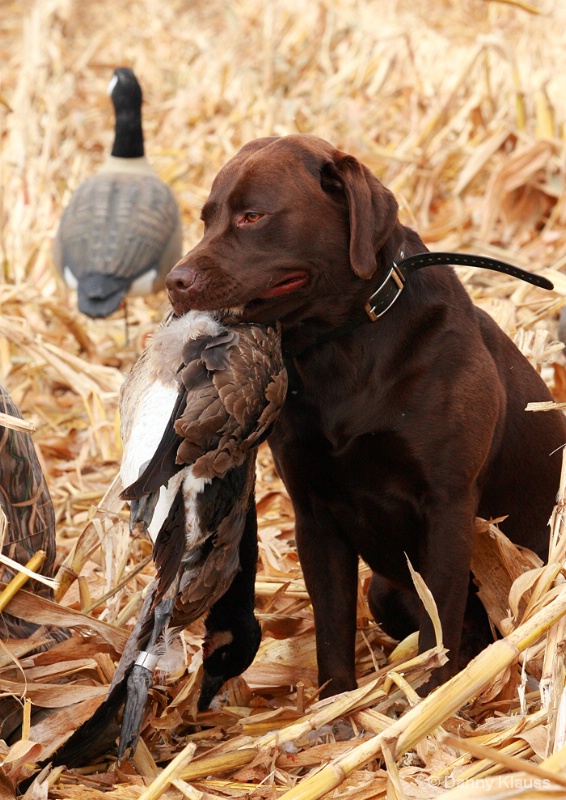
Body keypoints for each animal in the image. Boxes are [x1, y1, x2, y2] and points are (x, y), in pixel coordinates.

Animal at [165, 134, 566, 696]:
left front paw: (429, 695)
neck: (339, 348)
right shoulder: (313, 513)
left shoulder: (447, 504)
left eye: (252, 216)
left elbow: (438, 619)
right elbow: (332, 625)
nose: (174, 281)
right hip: (381, 590)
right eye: (207, 218)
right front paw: (336, 703)